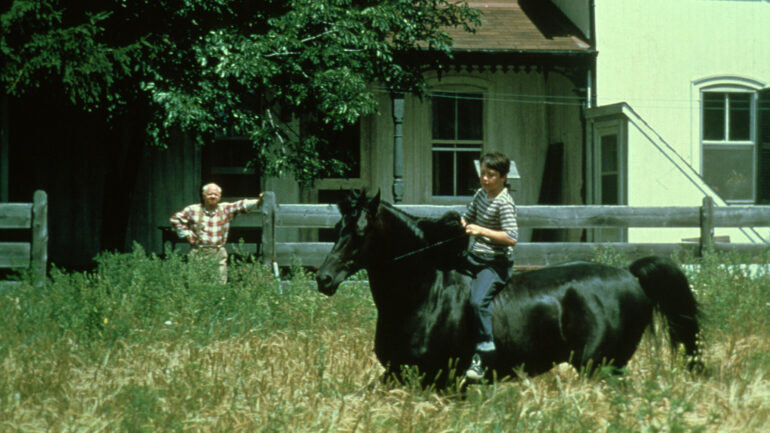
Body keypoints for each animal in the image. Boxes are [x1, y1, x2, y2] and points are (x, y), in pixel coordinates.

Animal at [314, 189, 704, 384]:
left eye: (361, 232)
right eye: (336, 228)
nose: (324, 278)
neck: (424, 293)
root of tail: (631, 275)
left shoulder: (436, 379)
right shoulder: (397, 375)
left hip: (601, 366)